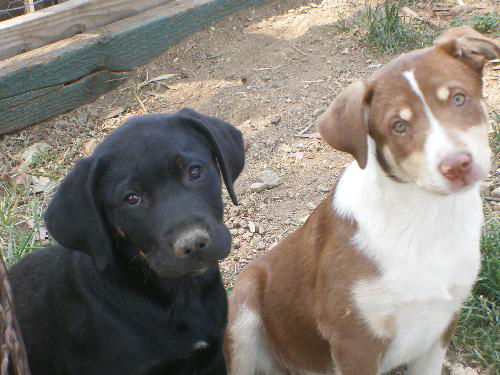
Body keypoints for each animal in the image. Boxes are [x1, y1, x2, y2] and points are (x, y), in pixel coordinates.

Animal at [225, 27, 498, 375]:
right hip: (244, 303)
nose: (457, 165)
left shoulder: (443, 321)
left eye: (459, 98)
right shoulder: (353, 340)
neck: (425, 215)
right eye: (399, 126)